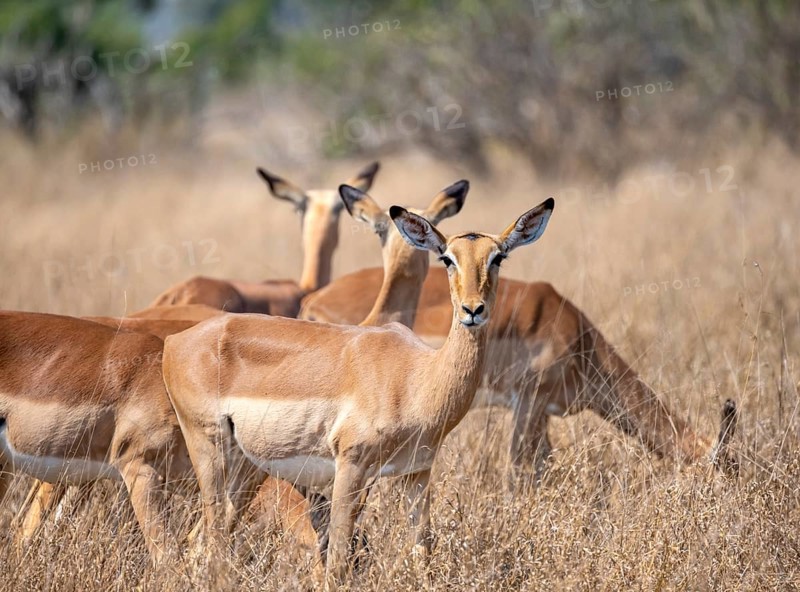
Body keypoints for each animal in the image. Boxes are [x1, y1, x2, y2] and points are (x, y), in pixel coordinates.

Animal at [162, 198, 555, 586]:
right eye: (447, 258)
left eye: (497, 257)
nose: (473, 310)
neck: (416, 377)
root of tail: (175, 341)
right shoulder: (351, 467)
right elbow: (336, 562)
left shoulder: (416, 473)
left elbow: (423, 555)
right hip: (209, 450)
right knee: (210, 539)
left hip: (246, 468)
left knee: (201, 541)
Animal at [300, 255, 739, 482]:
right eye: (725, 471)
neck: (579, 339)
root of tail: (314, 301)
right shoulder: (529, 404)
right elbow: (521, 472)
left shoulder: (541, 413)